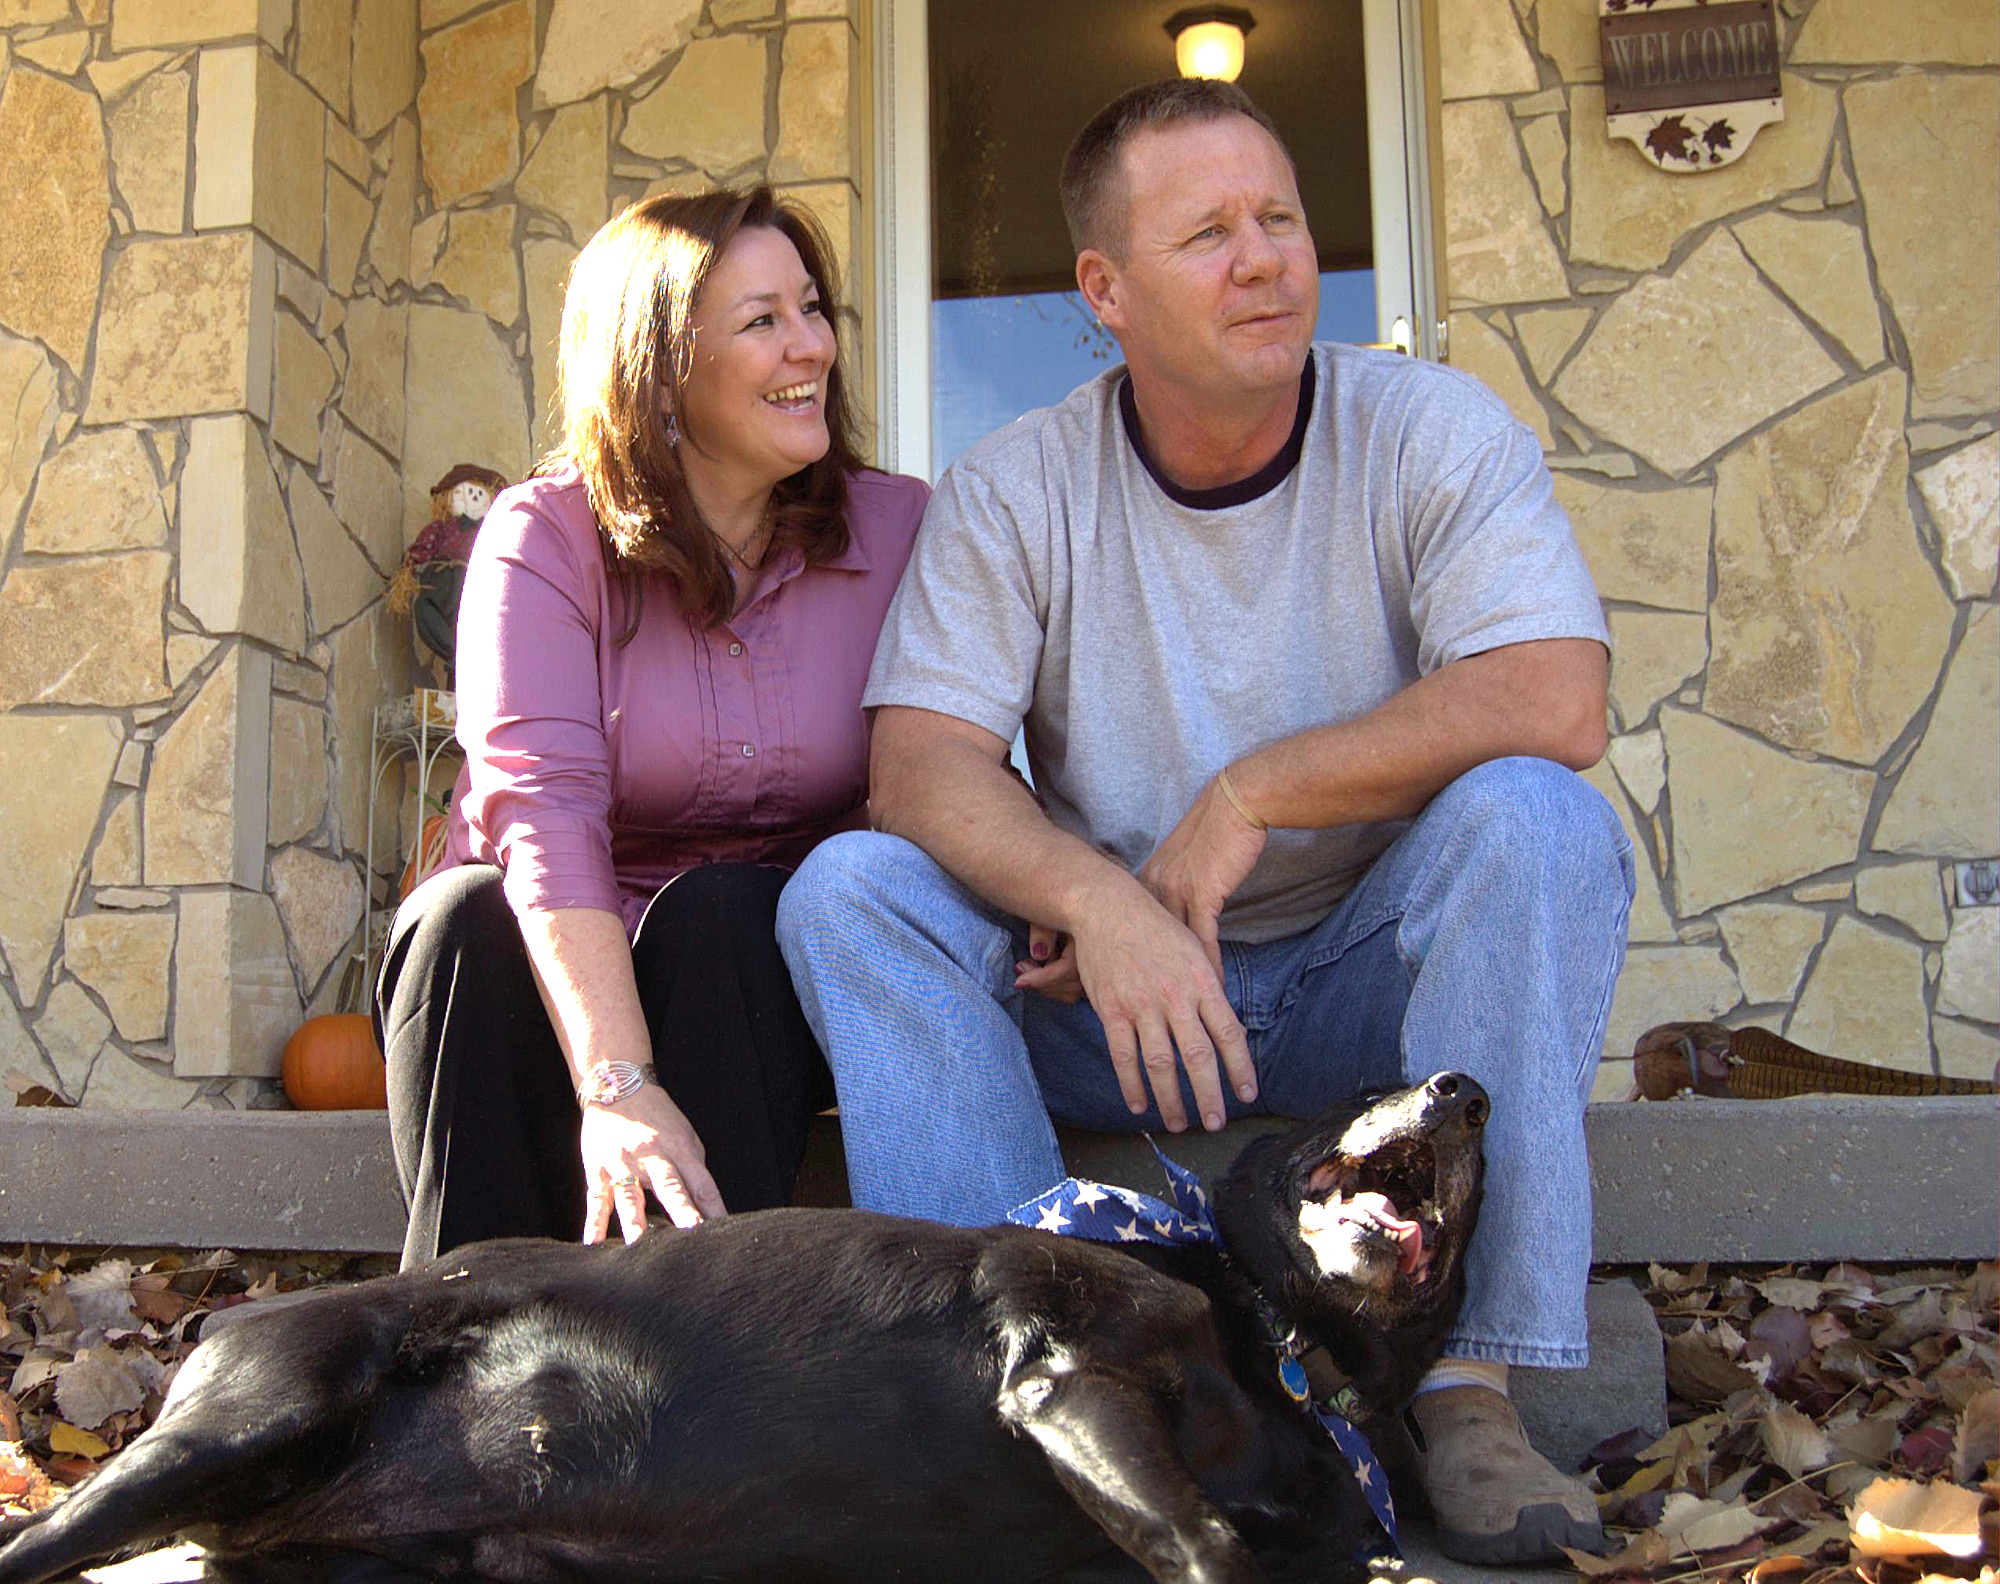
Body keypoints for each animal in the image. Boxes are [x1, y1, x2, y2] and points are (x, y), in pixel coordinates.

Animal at [0, 1072, 1488, 1576]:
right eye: (1357, 1088)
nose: (1467, 1090)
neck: (1275, 1342)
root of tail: (217, 1327)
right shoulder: (1064, 1378)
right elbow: (1205, 1537)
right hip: (254, 1416)